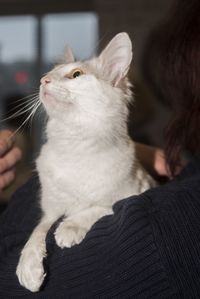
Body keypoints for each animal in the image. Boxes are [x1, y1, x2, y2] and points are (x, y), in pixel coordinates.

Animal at [16, 32, 155, 292]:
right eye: (50, 72)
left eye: (76, 75)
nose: (43, 80)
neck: (74, 146)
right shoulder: (50, 211)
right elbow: (38, 230)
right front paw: (28, 266)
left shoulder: (132, 194)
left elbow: (98, 207)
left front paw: (69, 228)